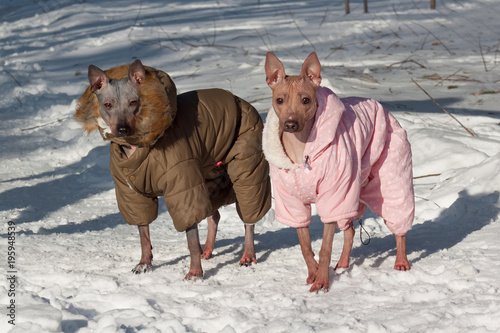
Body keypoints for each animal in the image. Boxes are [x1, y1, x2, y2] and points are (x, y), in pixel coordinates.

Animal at [74, 59, 272, 278]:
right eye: (108, 105)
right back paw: (208, 249)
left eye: (133, 102)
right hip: (207, 177)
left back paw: (248, 255)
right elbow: (143, 234)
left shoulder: (183, 189)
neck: (138, 148)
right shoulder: (133, 194)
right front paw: (144, 263)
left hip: (245, 167)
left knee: (249, 215)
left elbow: (191, 238)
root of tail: (244, 102)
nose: (122, 129)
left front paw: (195, 272)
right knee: (215, 215)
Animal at [262, 52, 414, 290]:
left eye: (305, 100)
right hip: (351, 194)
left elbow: (325, 248)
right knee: (350, 230)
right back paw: (342, 264)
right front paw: (313, 272)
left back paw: (401, 261)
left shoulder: (332, 198)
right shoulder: (293, 204)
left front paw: (322, 280)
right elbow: (306, 247)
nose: (290, 124)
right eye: (279, 100)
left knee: (399, 223)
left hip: (391, 178)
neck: (301, 152)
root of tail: (381, 106)